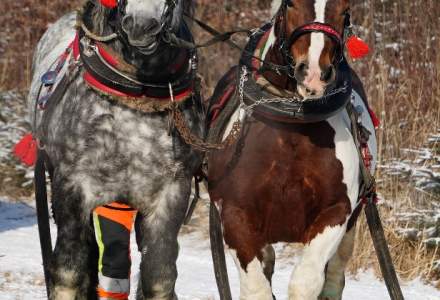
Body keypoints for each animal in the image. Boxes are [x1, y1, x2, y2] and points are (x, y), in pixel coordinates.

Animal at [208, 0, 376, 300]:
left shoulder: (336, 212)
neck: (290, 131)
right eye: (291, 3)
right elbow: (256, 290)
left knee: (334, 275)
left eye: (345, 10)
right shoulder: (235, 215)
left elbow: (305, 283)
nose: (314, 74)